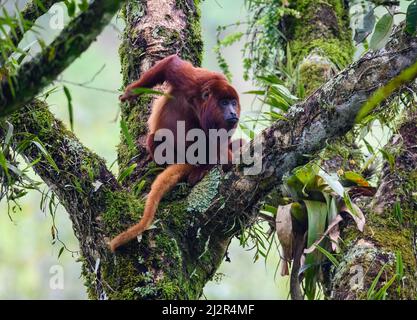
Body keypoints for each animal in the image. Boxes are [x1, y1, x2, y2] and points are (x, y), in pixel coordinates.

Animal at [109, 54, 240, 252]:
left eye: (233, 103)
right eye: (224, 102)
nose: (233, 112)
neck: (201, 105)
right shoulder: (193, 81)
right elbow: (171, 64)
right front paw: (131, 92)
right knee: (154, 138)